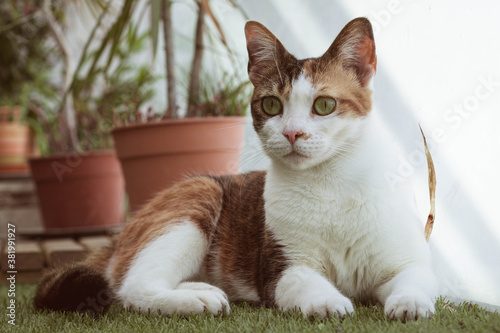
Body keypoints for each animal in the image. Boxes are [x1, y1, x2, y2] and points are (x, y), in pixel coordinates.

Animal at [35, 17, 436, 320]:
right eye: (272, 105)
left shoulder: (406, 260)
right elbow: (305, 283)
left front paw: (410, 302)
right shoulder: (280, 269)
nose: (292, 132)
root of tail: (120, 236)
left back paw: (203, 286)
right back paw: (195, 299)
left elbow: (418, 278)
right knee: (130, 287)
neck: (329, 183)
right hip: (200, 192)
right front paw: (329, 301)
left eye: (324, 105)